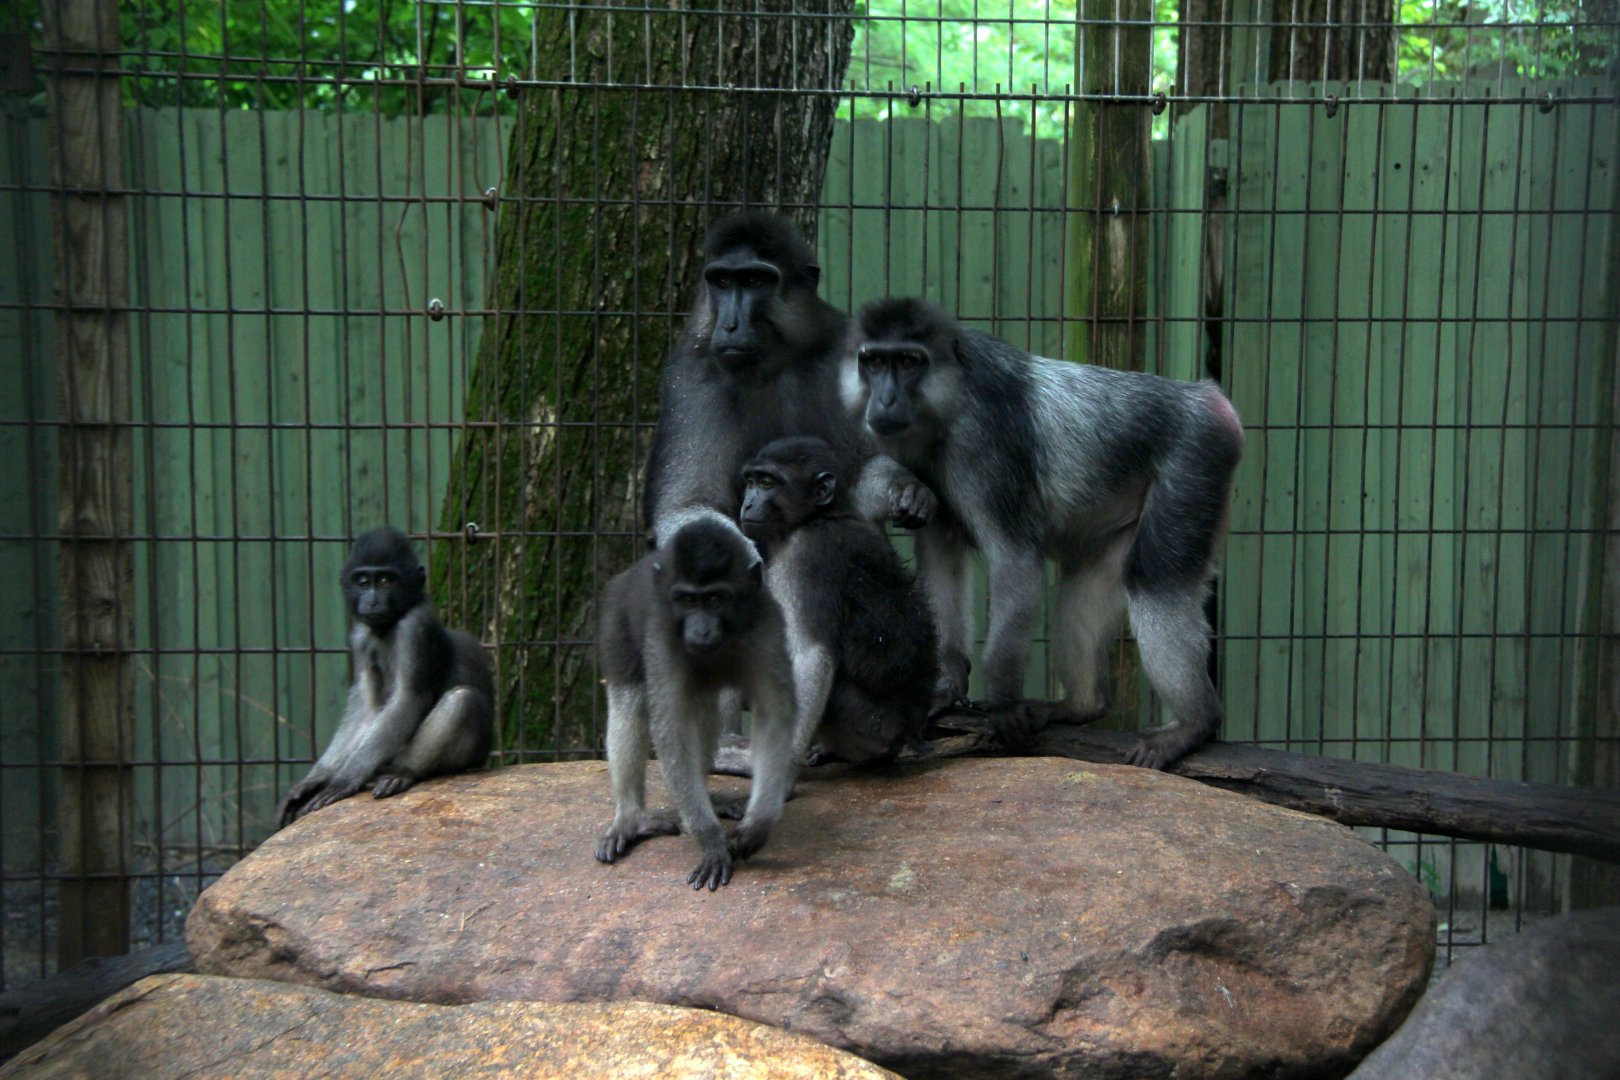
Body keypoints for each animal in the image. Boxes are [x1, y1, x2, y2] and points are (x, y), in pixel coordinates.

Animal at [276, 527, 494, 828]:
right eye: (363, 581)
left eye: (385, 581)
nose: (372, 601)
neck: (388, 626)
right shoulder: (359, 635)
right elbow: (366, 709)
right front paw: (316, 779)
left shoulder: (416, 626)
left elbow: (410, 700)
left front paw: (344, 778)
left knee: (464, 700)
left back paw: (403, 771)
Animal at [594, 518, 797, 890]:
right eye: (687, 600)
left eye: (715, 598)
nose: (701, 630)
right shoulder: (662, 638)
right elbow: (673, 730)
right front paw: (711, 840)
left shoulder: (765, 625)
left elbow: (774, 715)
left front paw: (757, 824)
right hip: (616, 619)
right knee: (631, 701)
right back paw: (632, 819)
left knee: (703, 709)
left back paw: (710, 801)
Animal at [739, 437, 939, 766]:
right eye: (752, 482)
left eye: (768, 483)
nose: (747, 504)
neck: (821, 516)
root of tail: (910, 730)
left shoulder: (807, 553)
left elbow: (811, 656)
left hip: (868, 725)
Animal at [842, 297, 1245, 769]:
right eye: (873, 362)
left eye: (908, 362)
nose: (885, 399)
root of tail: (1207, 399)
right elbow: (941, 553)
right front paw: (946, 682)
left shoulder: (982, 442)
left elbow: (1015, 560)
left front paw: (1002, 700)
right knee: (1084, 585)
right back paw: (1082, 705)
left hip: (1196, 458)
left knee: (1154, 579)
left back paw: (1195, 723)